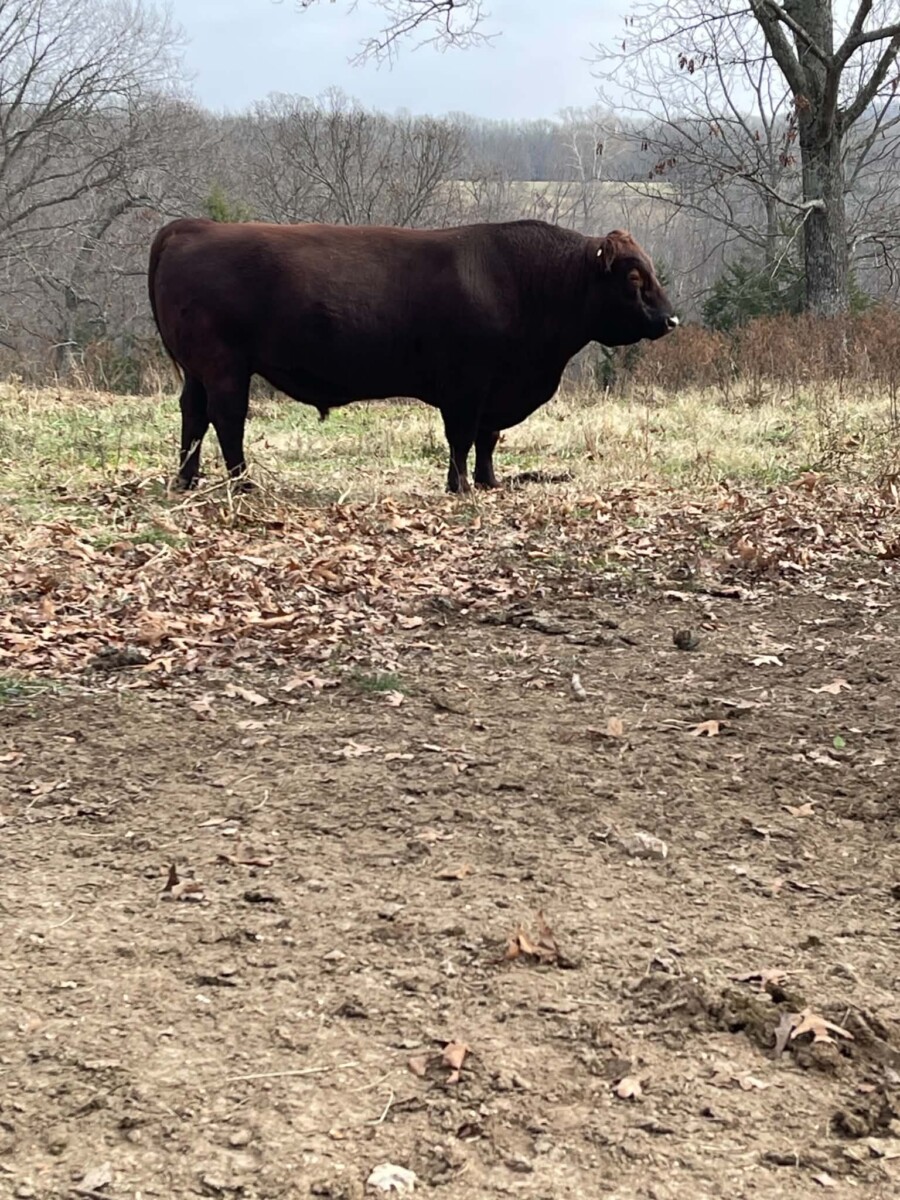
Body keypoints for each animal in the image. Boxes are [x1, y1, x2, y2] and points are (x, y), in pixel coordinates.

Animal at [148, 217, 678, 493]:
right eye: (634, 277)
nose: (671, 320)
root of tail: (196, 226)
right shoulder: (467, 384)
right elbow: (461, 438)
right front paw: (460, 486)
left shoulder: (495, 390)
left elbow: (487, 439)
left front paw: (488, 482)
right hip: (224, 366)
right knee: (227, 418)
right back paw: (242, 483)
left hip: (198, 370)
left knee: (193, 415)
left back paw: (186, 480)